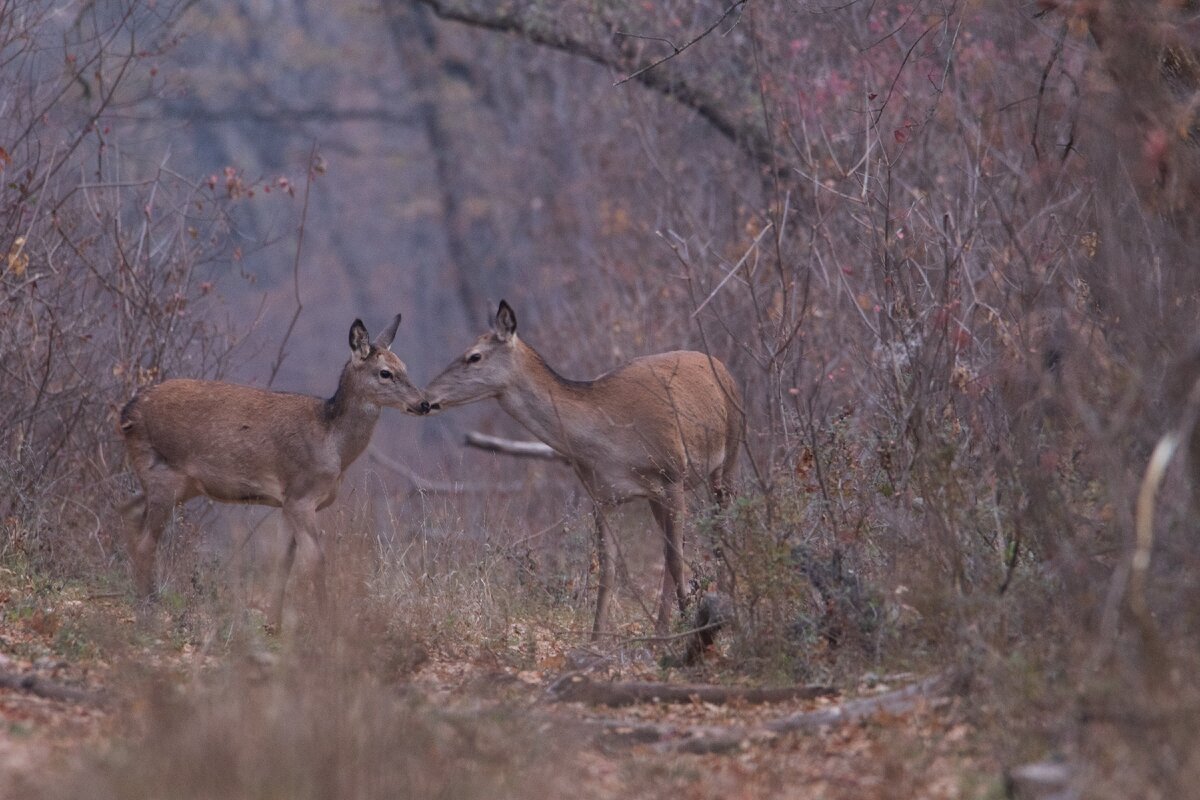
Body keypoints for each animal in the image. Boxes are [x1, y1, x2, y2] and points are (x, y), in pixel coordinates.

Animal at [117, 311, 424, 633]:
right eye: (385, 373)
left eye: (405, 367)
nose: (424, 403)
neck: (333, 442)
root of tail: (127, 412)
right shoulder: (301, 495)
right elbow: (316, 559)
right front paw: (326, 625)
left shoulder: (286, 502)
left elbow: (283, 564)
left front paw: (273, 624)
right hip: (165, 474)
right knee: (146, 542)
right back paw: (148, 611)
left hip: (175, 481)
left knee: (128, 509)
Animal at [422, 303, 739, 642]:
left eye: (474, 356)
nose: (426, 399)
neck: (611, 442)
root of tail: (721, 365)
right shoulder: (602, 495)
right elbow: (608, 569)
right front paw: (596, 639)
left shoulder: (672, 475)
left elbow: (676, 559)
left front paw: (681, 628)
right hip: (658, 496)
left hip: (730, 452)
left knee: (720, 528)